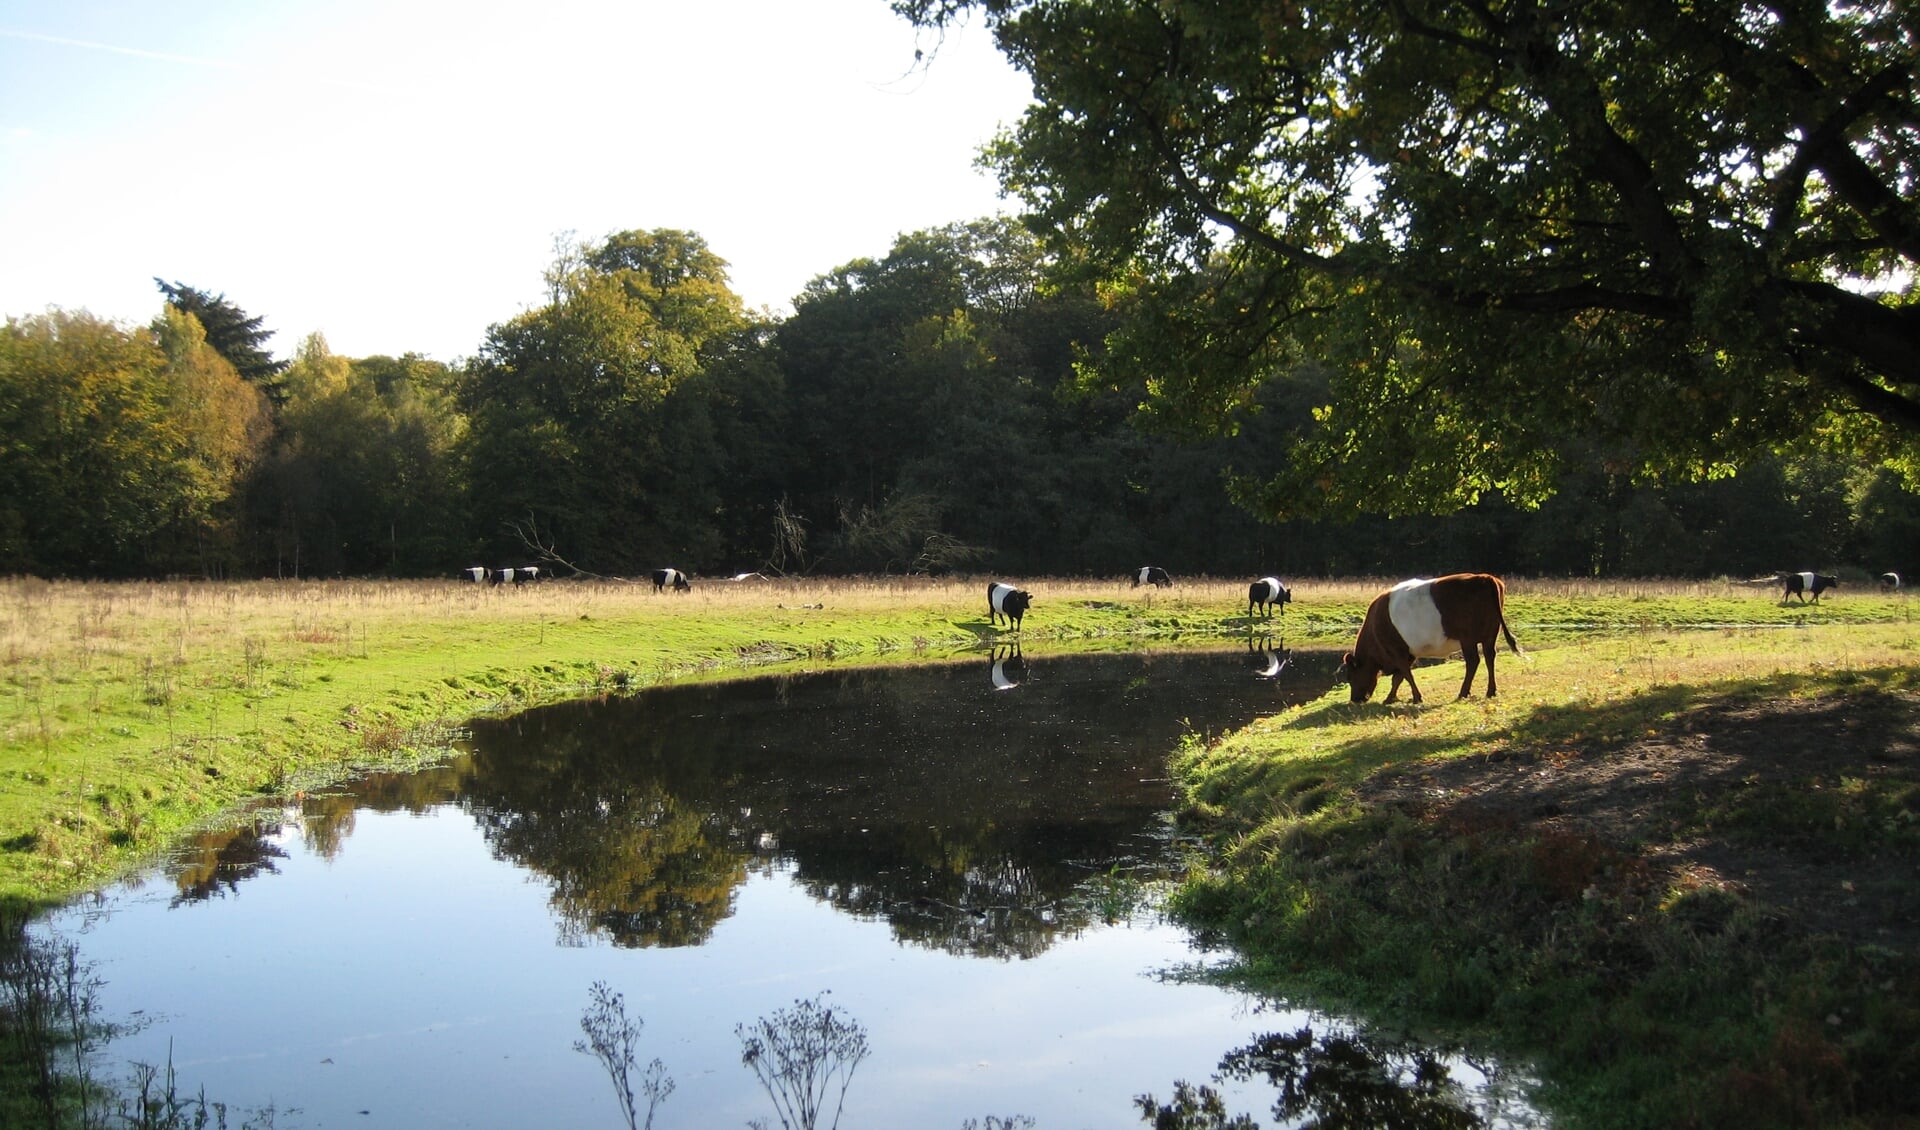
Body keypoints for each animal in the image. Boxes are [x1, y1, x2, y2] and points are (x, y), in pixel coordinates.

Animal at [1344, 575, 1520, 702]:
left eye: (1351, 676)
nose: (1355, 699)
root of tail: (1485, 578)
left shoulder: (1396, 651)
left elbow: (1405, 674)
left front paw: (1415, 697)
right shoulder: (1409, 653)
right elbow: (1398, 678)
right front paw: (1391, 698)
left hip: (1468, 638)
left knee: (1473, 661)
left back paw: (1463, 693)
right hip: (1490, 635)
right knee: (1490, 657)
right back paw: (1490, 691)